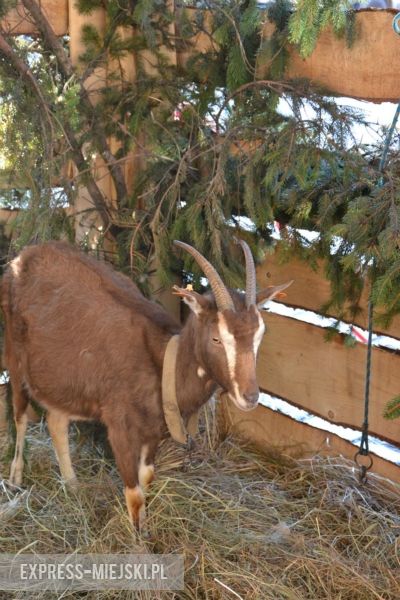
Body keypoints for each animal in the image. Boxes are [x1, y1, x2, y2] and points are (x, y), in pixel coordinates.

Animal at [1, 241, 292, 528]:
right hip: (14, 357)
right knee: (19, 415)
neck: (164, 364)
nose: (250, 396)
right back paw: (15, 480)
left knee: (56, 422)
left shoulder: (152, 431)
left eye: (259, 335)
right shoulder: (119, 428)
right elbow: (134, 495)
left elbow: (147, 478)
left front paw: (147, 528)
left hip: (60, 380)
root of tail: (23, 256)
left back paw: (72, 486)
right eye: (216, 339)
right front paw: (137, 536)